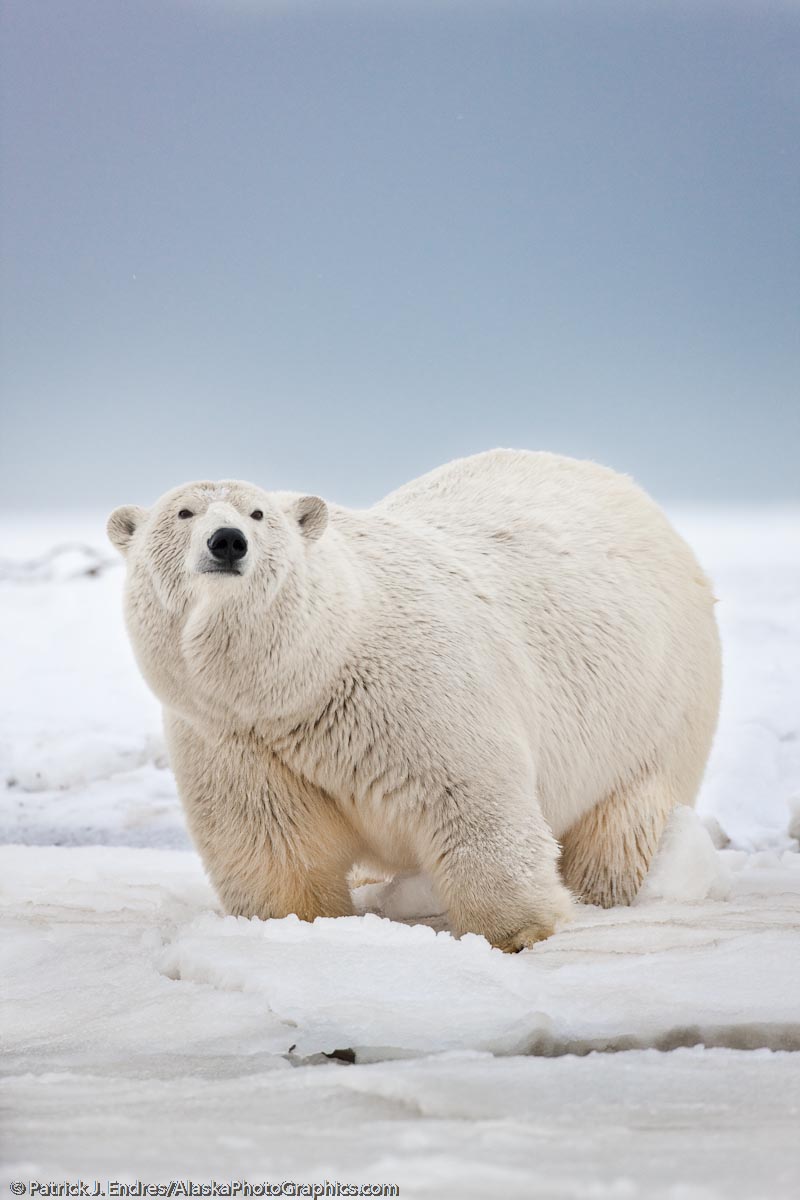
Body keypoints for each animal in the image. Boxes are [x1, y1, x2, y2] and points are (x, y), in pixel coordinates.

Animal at [106, 451, 719, 945]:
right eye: (183, 513)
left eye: (258, 514)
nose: (228, 541)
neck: (305, 679)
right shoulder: (233, 734)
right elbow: (269, 841)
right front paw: (300, 925)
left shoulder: (416, 694)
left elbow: (472, 800)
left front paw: (518, 930)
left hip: (657, 707)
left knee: (623, 820)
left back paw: (605, 889)